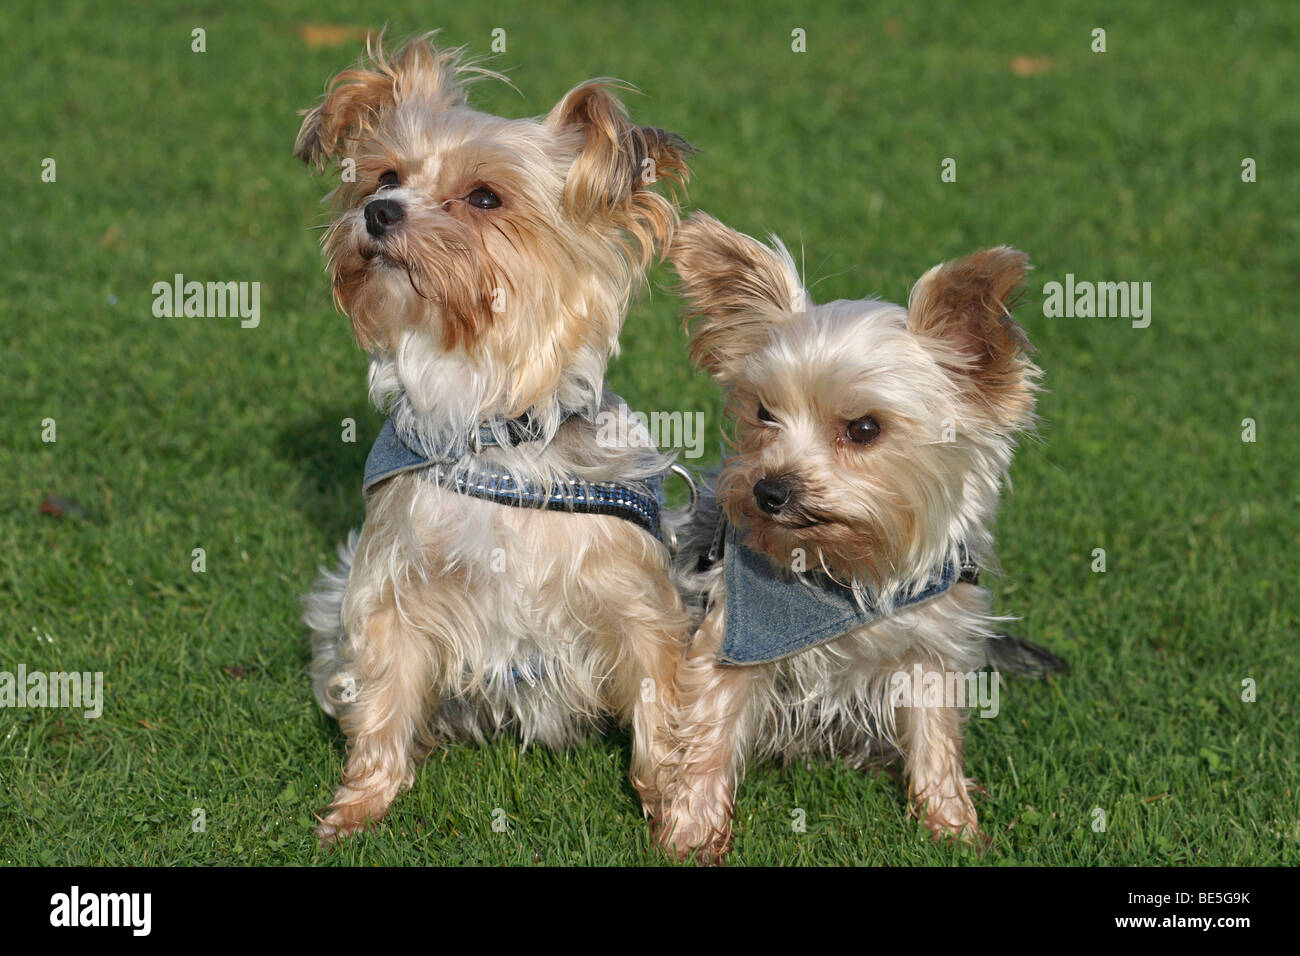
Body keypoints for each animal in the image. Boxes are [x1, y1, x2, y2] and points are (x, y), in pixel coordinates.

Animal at [296, 33, 696, 842]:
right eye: (385, 175)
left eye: (485, 197)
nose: (377, 211)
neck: (491, 434)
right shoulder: (389, 588)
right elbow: (381, 703)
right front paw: (358, 808)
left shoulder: (639, 602)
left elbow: (660, 710)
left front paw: (679, 823)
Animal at [660, 213, 1045, 863]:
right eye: (764, 413)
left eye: (864, 429)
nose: (769, 490)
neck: (842, 577)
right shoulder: (733, 635)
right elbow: (711, 736)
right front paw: (690, 836)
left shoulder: (930, 644)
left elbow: (936, 736)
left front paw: (952, 827)